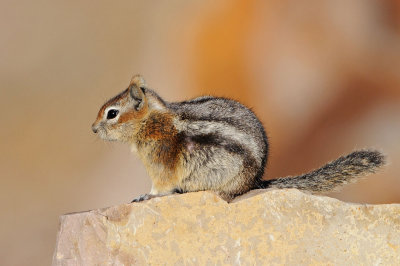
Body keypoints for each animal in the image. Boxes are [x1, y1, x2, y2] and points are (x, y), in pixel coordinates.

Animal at [90, 75, 384, 202]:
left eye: (112, 114)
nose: (92, 129)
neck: (151, 122)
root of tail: (255, 181)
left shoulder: (161, 166)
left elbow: (159, 188)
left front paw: (145, 196)